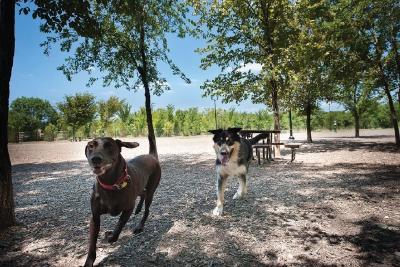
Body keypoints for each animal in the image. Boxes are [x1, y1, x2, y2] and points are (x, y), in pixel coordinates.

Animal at [83, 138, 161, 267]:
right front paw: (88, 262)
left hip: (151, 189)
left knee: (147, 208)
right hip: (139, 186)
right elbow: (92, 244)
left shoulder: (128, 209)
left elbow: (119, 225)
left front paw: (110, 236)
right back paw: (138, 209)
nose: (95, 159)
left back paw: (140, 226)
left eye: (109, 146)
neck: (110, 185)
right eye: (90, 146)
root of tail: (151, 156)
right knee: (142, 194)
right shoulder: (94, 217)